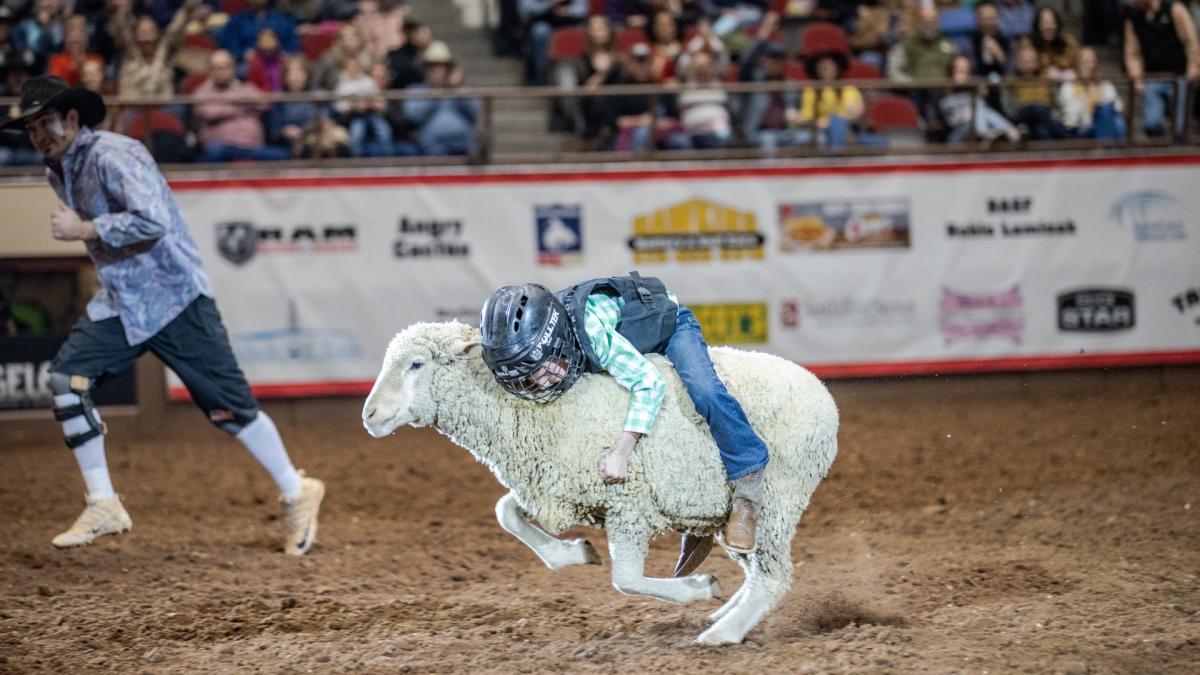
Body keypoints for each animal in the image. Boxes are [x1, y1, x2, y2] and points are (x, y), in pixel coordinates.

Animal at [362, 320, 839, 645]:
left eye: (417, 363)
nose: (369, 415)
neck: (536, 411)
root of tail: (821, 392)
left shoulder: (628, 504)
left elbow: (625, 579)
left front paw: (696, 588)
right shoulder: (554, 487)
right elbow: (506, 513)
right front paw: (574, 553)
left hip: (778, 498)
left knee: (772, 578)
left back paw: (722, 633)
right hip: (728, 515)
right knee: (757, 572)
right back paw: (722, 617)